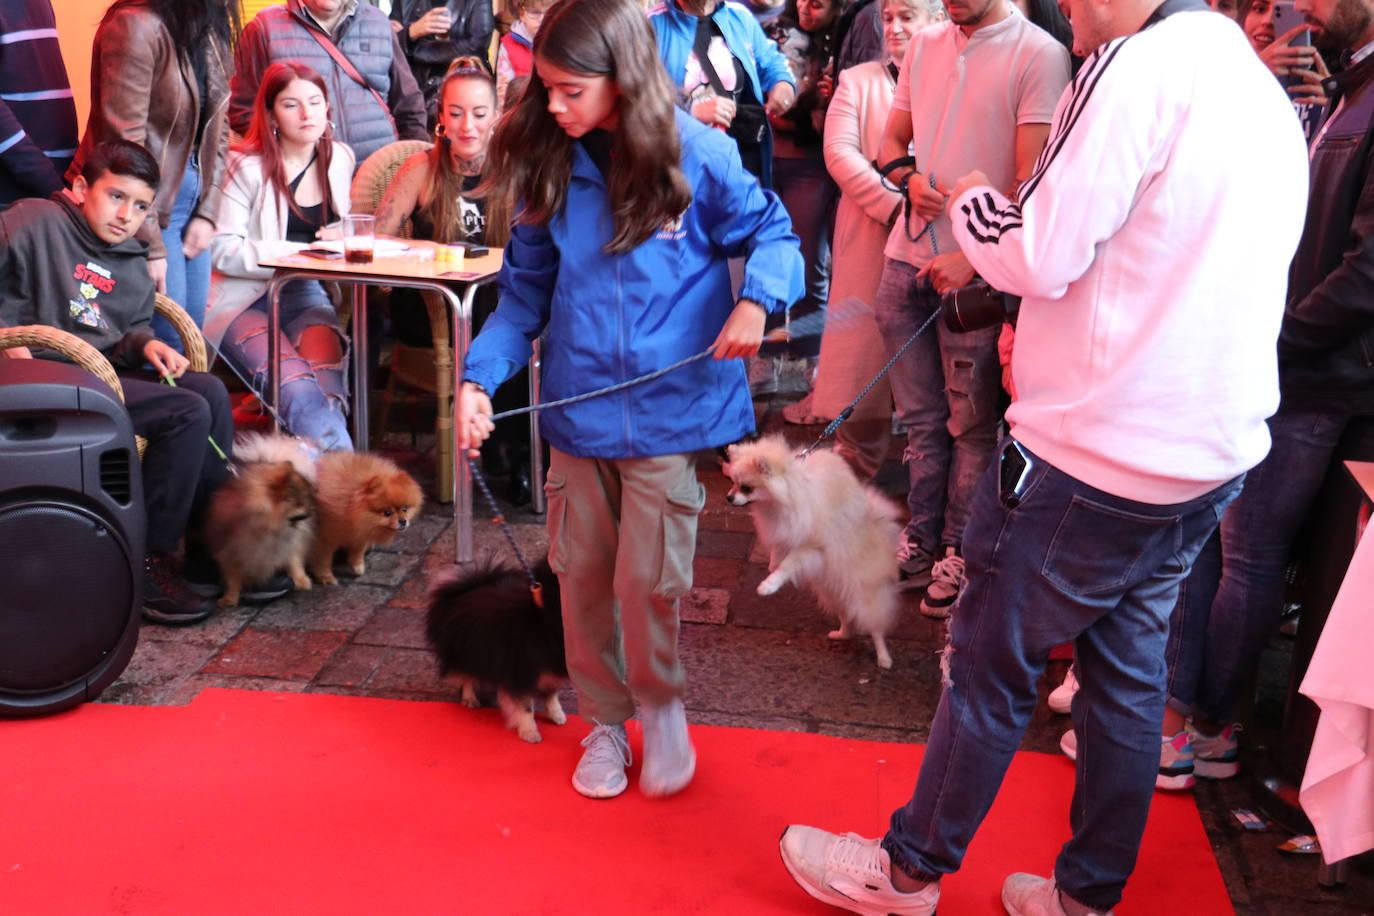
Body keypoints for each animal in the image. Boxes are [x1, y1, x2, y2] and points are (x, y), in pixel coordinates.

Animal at [309, 453, 420, 587]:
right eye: (387, 513)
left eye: (405, 508)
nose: (403, 521)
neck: (349, 506)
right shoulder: (325, 539)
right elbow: (323, 560)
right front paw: (325, 577)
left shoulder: (360, 532)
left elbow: (357, 551)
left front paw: (358, 567)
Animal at [420, 560, 566, 747]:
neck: (544, 620)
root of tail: (463, 592)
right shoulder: (521, 672)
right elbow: (526, 706)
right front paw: (529, 732)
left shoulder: (551, 668)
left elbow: (552, 695)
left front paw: (557, 715)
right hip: (465, 652)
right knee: (466, 676)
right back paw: (470, 699)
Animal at [719, 436, 901, 667]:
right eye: (732, 482)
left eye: (746, 487)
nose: (728, 497)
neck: (789, 492)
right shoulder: (782, 529)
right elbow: (778, 550)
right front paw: (773, 564)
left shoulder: (811, 545)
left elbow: (788, 565)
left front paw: (768, 585)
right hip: (835, 594)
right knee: (848, 617)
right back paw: (842, 634)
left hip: (864, 595)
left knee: (875, 627)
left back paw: (883, 657)